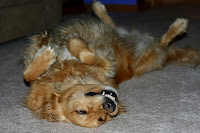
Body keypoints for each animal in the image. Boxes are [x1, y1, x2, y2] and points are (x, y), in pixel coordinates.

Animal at [22, 1, 200, 128]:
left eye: (81, 111)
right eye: (102, 118)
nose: (110, 106)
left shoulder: (105, 62)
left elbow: (28, 74)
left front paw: (70, 42)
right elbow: (29, 75)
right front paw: (50, 54)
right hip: (147, 57)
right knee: (158, 42)